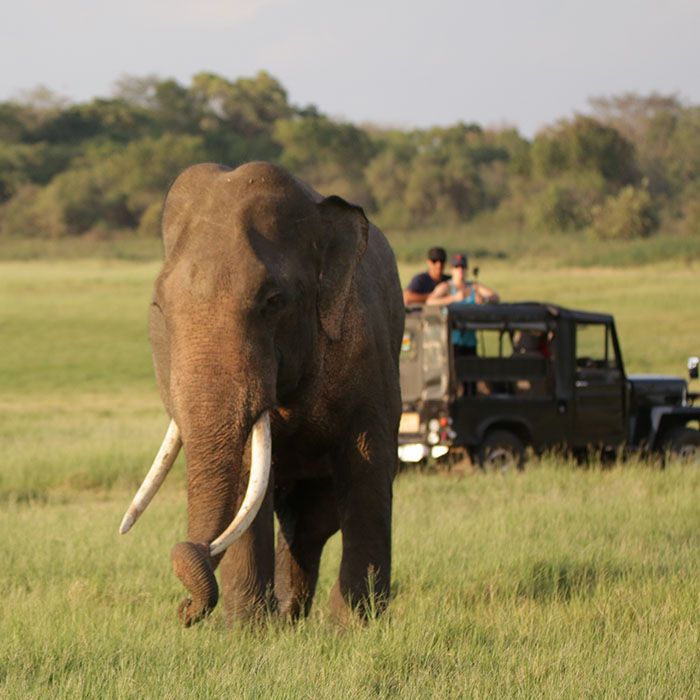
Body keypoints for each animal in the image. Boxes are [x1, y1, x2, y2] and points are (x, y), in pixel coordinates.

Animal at [121, 161, 404, 628]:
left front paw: (356, 627)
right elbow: (247, 475)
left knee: (312, 522)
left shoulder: (367, 354)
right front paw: (247, 630)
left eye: (272, 301)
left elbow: (367, 464)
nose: (183, 609)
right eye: (159, 308)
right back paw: (288, 617)